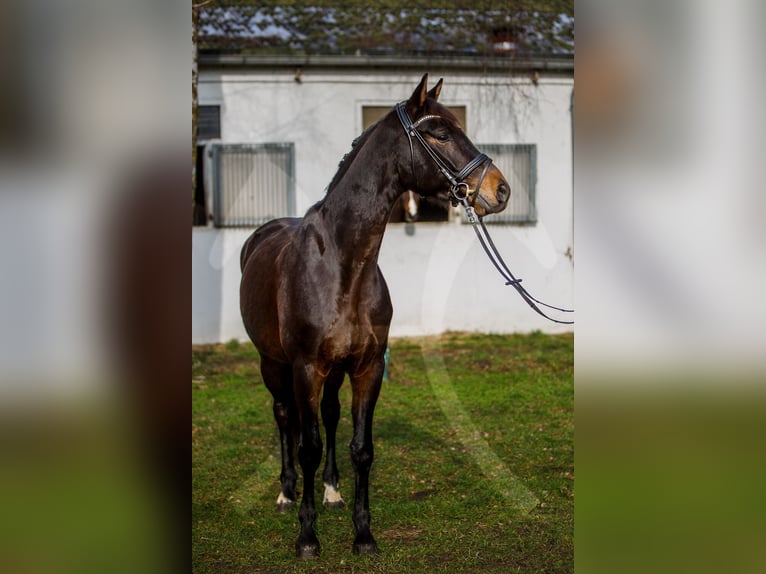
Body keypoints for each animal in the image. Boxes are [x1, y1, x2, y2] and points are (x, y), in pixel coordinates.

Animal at [243, 74, 512, 560]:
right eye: (439, 132)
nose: (500, 190)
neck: (344, 265)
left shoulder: (366, 367)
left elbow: (361, 448)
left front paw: (363, 534)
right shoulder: (305, 368)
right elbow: (307, 447)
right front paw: (307, 537)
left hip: (334, 371)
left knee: (329, 415)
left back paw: (331, 491)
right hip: (273, 364)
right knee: (284, 417)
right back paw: (287, 492)